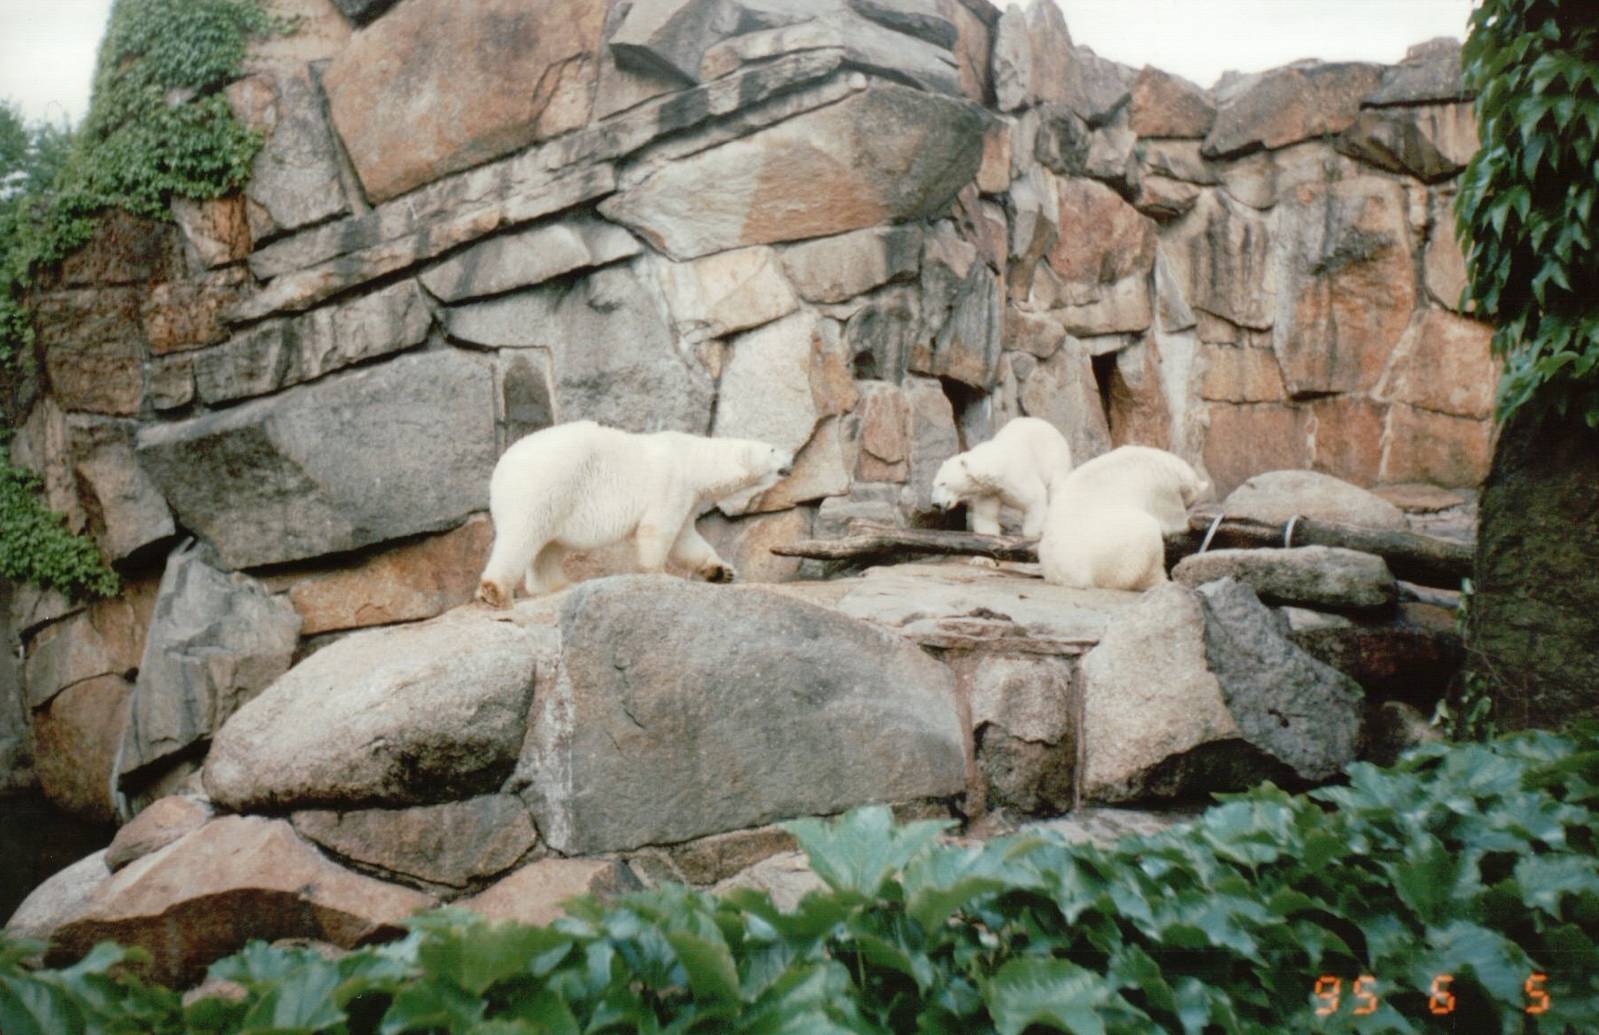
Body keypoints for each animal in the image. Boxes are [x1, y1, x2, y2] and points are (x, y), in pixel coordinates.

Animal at [475, 421, 794, 608]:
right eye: (772, 449)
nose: (791, 458)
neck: (693, 458)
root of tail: (501, 469)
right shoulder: (672, 483)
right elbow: (658, 530)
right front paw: (658, 574)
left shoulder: (688, 497)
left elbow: (686, 540)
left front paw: (721, 571)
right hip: (547, 484)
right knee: (523, 535)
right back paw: (496, 592)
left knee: (549, 546)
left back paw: (560, 585)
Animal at [930, 417, 1073, 537]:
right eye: (934, 484)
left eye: (943, 483)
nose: (935, 504)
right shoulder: (989, 491)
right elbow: (986, 514)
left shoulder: (1016, 478)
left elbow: (1034, 498)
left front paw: (1034, 533)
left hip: (1055, 458)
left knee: (1056, 487)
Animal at [1037, 445, 1209, 591]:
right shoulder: (1161, 489)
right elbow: (1172, 518)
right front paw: (1190, 520)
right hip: (1110, 550)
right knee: (1146, 536)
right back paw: (1161, 580)